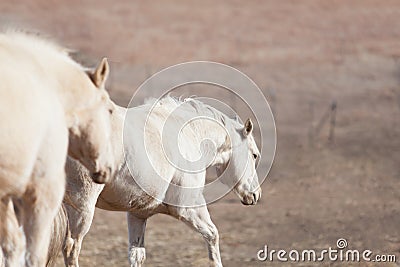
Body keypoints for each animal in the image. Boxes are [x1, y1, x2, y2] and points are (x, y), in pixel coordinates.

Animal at [50, 97, 260, 267]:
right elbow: (212, 235)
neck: (190, 135)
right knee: (71, 247)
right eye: (255, 155)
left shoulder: (138, 214)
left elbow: (136, 255)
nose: (255, 195)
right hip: (82, 206)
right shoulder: (188, 208)